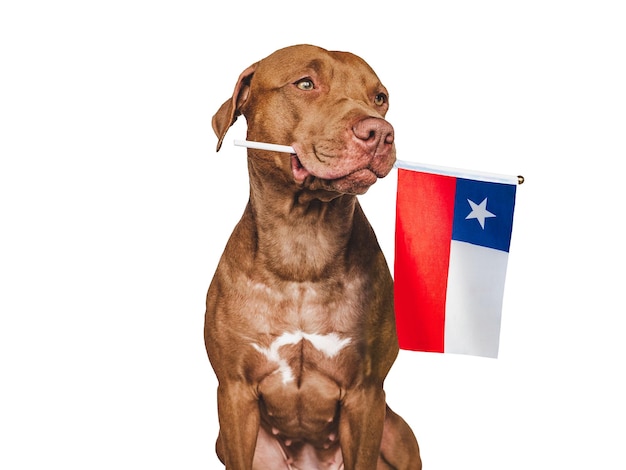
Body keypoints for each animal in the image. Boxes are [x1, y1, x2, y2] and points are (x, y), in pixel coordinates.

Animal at [206, 44, 420, 470]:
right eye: (305, 84)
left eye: (380, 98)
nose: (380, 132)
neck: (303, 246)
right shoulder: (234, 393)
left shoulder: (366, 394)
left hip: (397, 434)